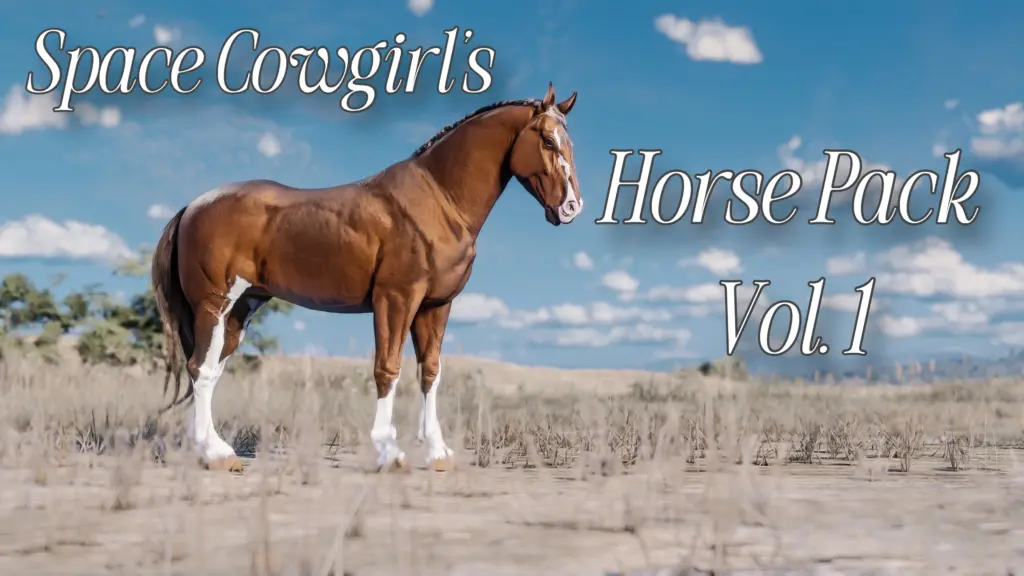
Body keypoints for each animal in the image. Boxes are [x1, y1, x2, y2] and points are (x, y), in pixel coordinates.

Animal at [151, 83, 584, 473]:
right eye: (547, 139)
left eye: (570, 142)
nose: (571, 207)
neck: (439, 200)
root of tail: (192, 206)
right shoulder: (396, 299)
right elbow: (387, 369)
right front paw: (389, 453)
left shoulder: (436, 306)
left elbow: (430, 372)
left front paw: (437, 453)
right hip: (214, 305)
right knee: (201, 370)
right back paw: (214, 455)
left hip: (241, 309)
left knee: (207, 370)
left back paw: (212, 450)